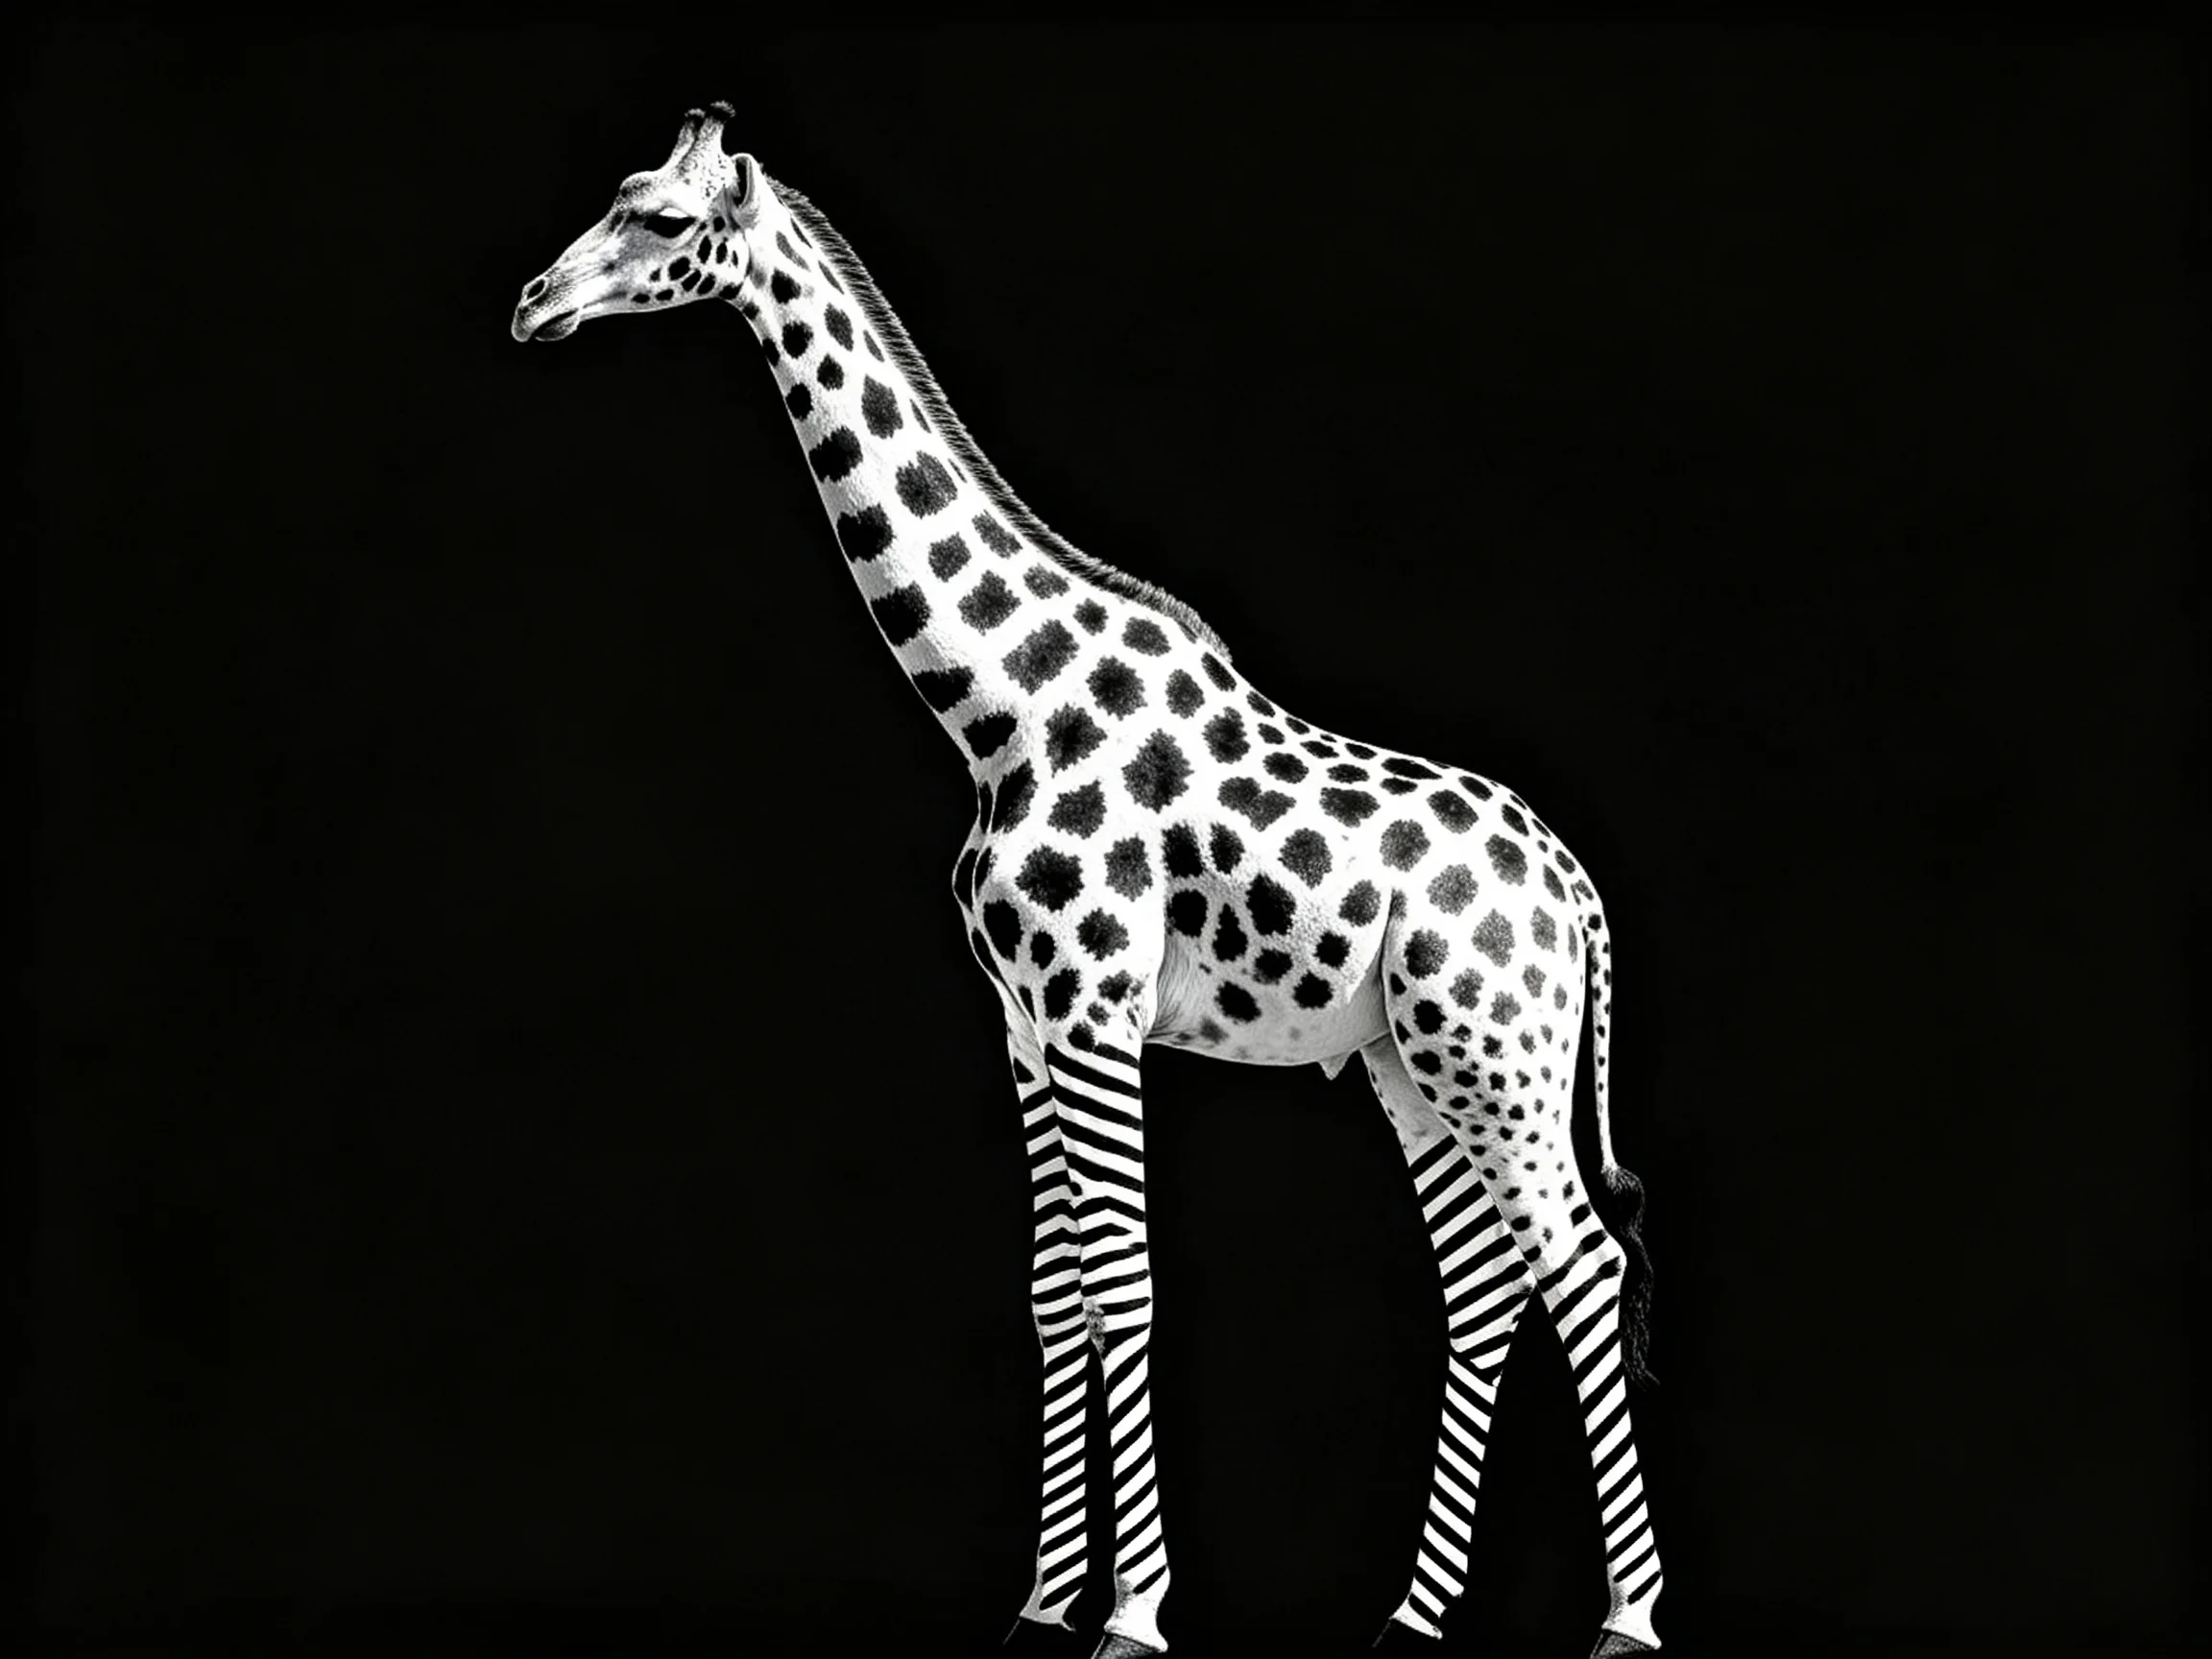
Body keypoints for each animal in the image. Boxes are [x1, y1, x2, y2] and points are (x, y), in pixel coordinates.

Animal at [511, 104, 1665, 1658]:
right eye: (617, 197)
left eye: (657, 219)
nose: (535, 304)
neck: (1001, 705)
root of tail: (1579, 893)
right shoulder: (1019, 1022)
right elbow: (1057, 1300)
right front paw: (1042, 1606)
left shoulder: (1094, 1007)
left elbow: (1124, 1289)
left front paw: (1134, 1614)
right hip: (1408, 1058)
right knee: (1484, 1286)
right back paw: (1410, 1624)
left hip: (1500, 1055)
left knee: (1581, 1264)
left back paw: (1630, 1620)